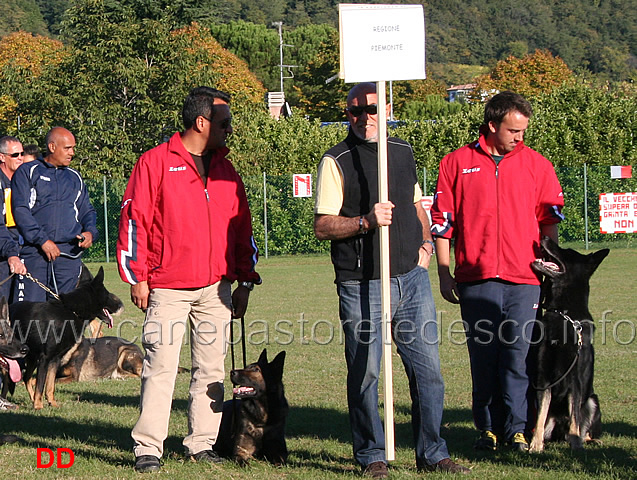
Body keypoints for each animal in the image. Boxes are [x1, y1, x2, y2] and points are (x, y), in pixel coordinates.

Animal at [524, 238, 608, 452]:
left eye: (567, 251)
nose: (544, 238)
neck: (563, 313)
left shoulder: (575, 380)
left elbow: (575, 420)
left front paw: (576, 446)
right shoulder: (543, 378)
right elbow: (540, 416)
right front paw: (535, 445)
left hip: (592, 400)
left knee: (582, 427)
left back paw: (588, 440)